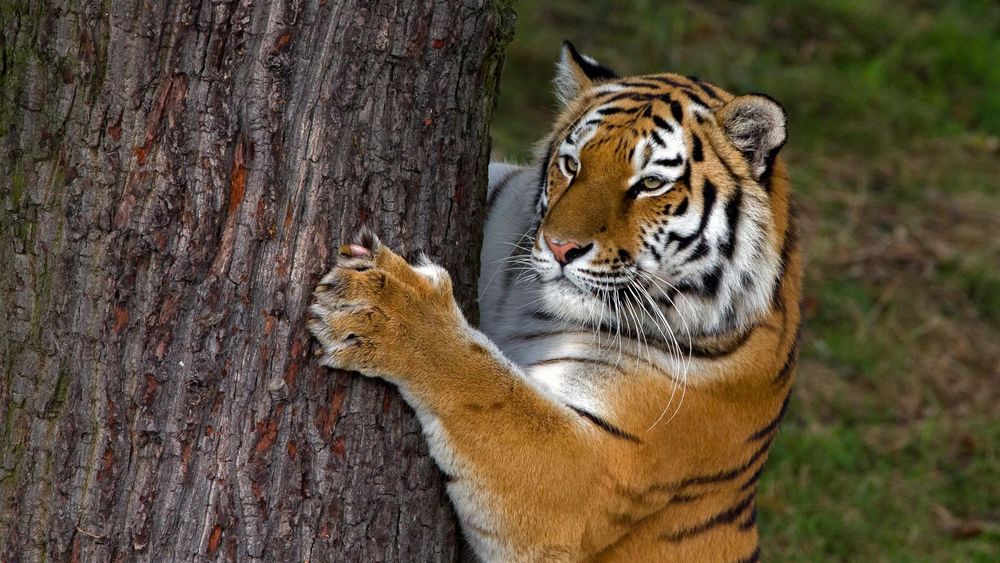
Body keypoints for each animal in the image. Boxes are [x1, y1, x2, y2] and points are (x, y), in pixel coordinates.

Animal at [308, 41, 802, 562]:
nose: (563, 247)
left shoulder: (592, 474)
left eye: (650, 184)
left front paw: (383, 310)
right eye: (572, 165)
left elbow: (487, 386)